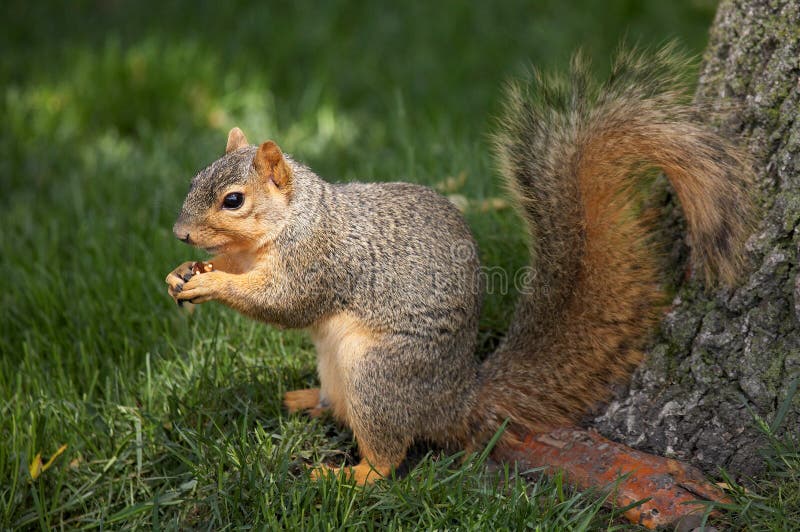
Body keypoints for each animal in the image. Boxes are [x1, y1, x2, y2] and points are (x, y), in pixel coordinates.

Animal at [165, 46, 754, 484]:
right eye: (195, 178)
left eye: (234, 200)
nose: (179, 233)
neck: (287, 224)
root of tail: (459, 401)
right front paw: (183, 271)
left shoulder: (321, 260)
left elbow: (285, 303)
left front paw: (213, 285)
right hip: (339, 367)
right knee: (342, 408)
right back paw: (309, 399)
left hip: (378, 374)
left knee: (388, 452)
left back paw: (348, 477)